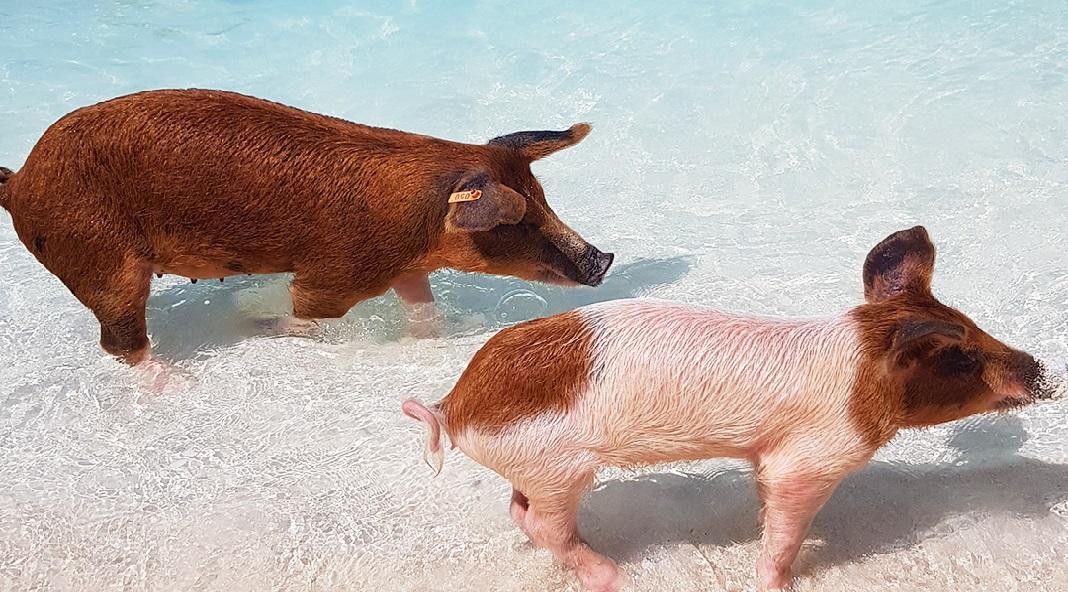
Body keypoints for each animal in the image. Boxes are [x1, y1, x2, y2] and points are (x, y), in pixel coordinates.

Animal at [0, 89, 612, 364]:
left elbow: (423, 305)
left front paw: (434, 334)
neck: (415, 221)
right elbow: (307, 313)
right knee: (122, 341)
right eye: (517, 221)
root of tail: (20, 180)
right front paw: (260, 323)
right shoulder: (335, 272)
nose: (603, 258)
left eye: (543, 198)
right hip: (97, 255)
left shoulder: (400, 267)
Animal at [403, 226, 1061, 592]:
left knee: (520, 513)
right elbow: (786, 530)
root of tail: (454, 404)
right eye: (962, 358)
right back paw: (616, 577)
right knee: (542, 525)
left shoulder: (769, 457)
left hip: (536, 468)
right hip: (560, 467)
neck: (860, 372)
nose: (1043, 371)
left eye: (973, 327)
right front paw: (780, 583)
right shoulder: (811, 459)